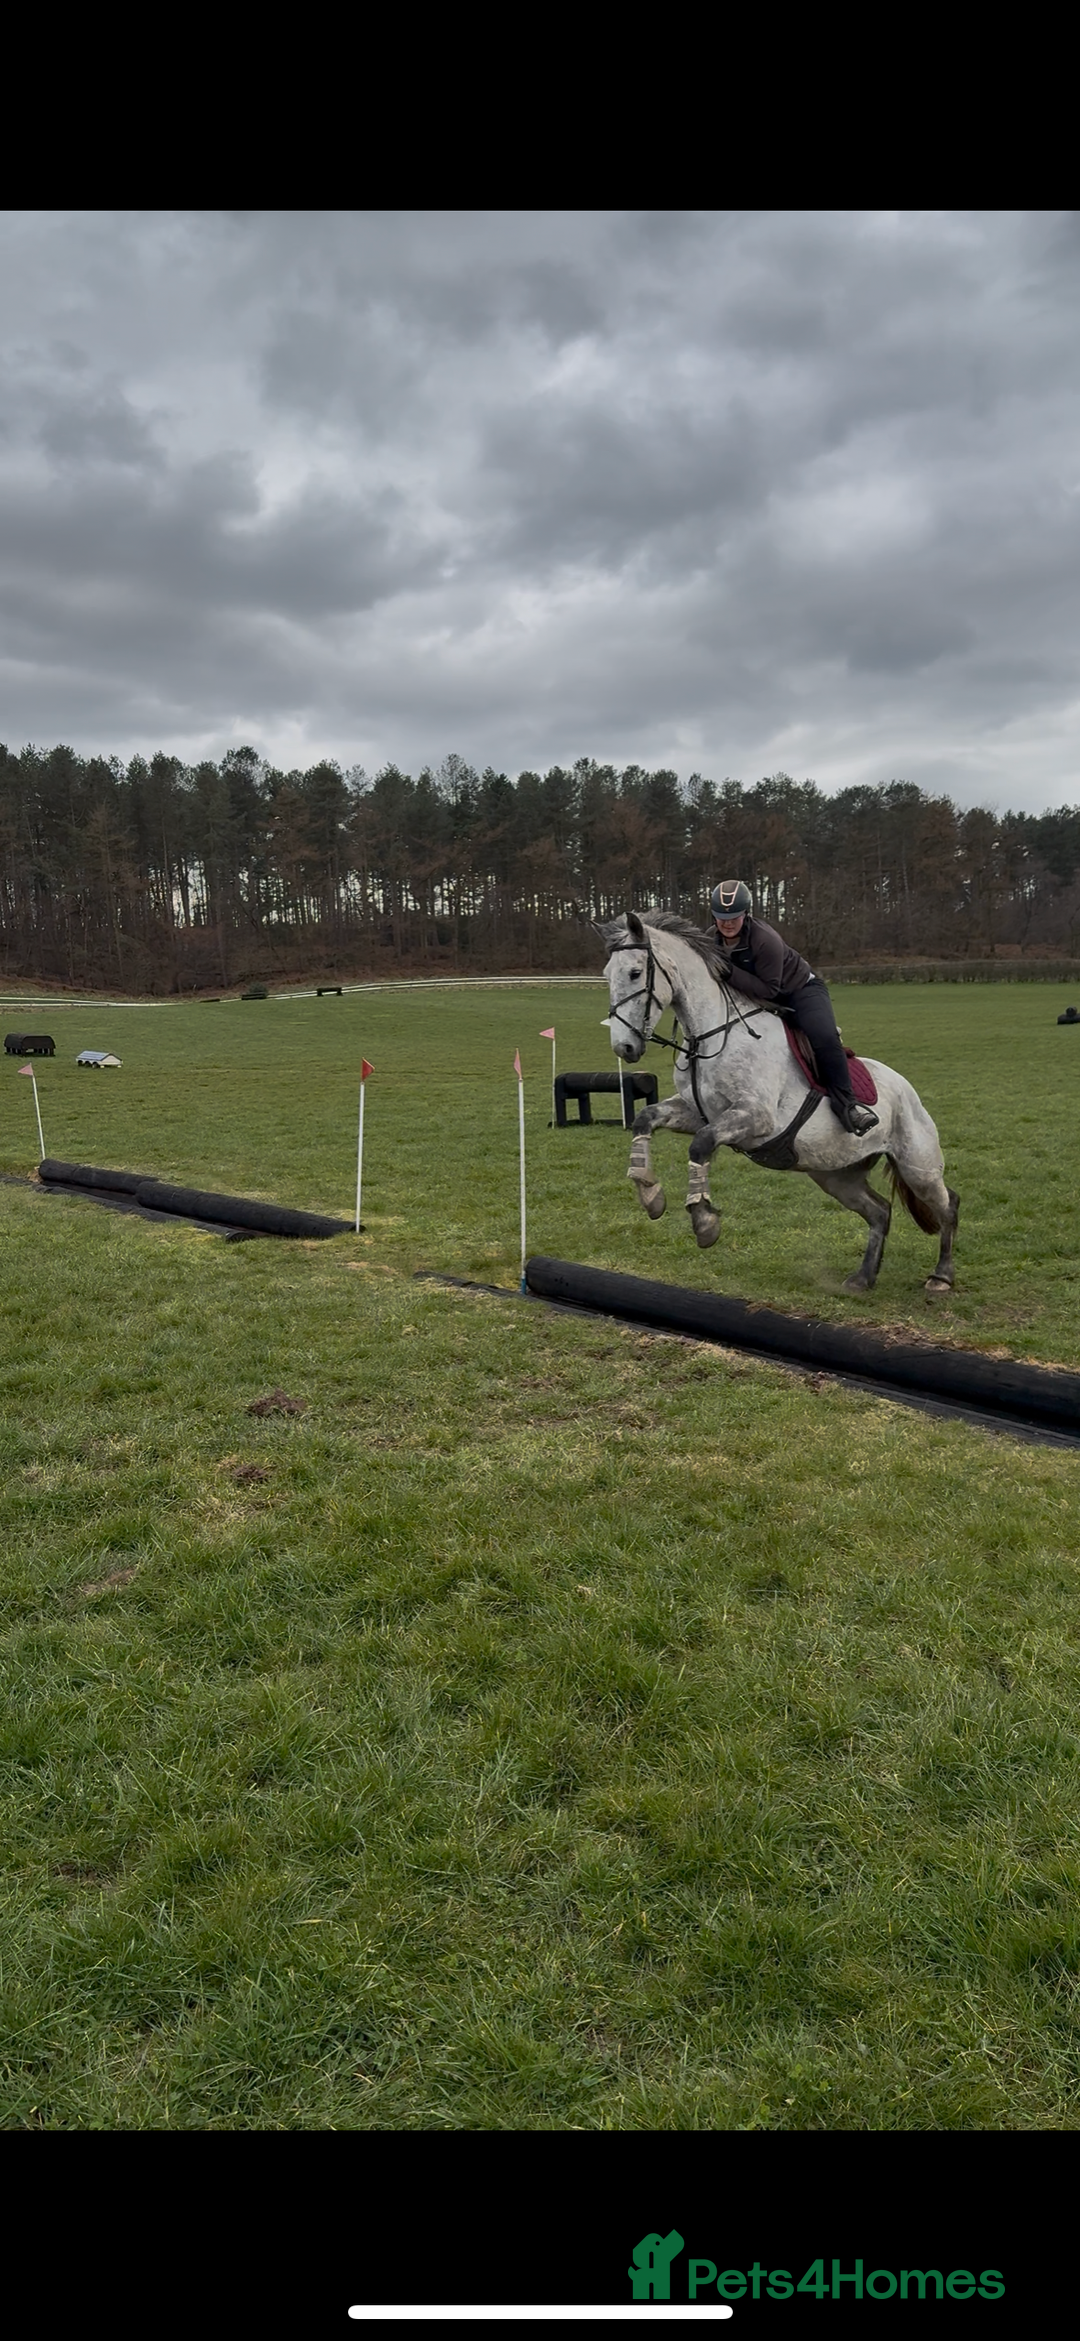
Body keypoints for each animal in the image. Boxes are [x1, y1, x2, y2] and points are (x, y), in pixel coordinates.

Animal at [596, 911, 959, 1295]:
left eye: (635, 973)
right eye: (607, 974)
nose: (624, 1048)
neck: (711, 1034)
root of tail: (908, 1090)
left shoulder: (755, 1118)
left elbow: (702, 1145)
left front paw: (705, 1221)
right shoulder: (697, 1112)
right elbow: (646, 1118)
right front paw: (650, 1194)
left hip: (917, 1165)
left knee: (948, 1205)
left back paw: (941, 1276)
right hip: (836, 1176)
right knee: (880, 1211)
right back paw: (863, 1278)